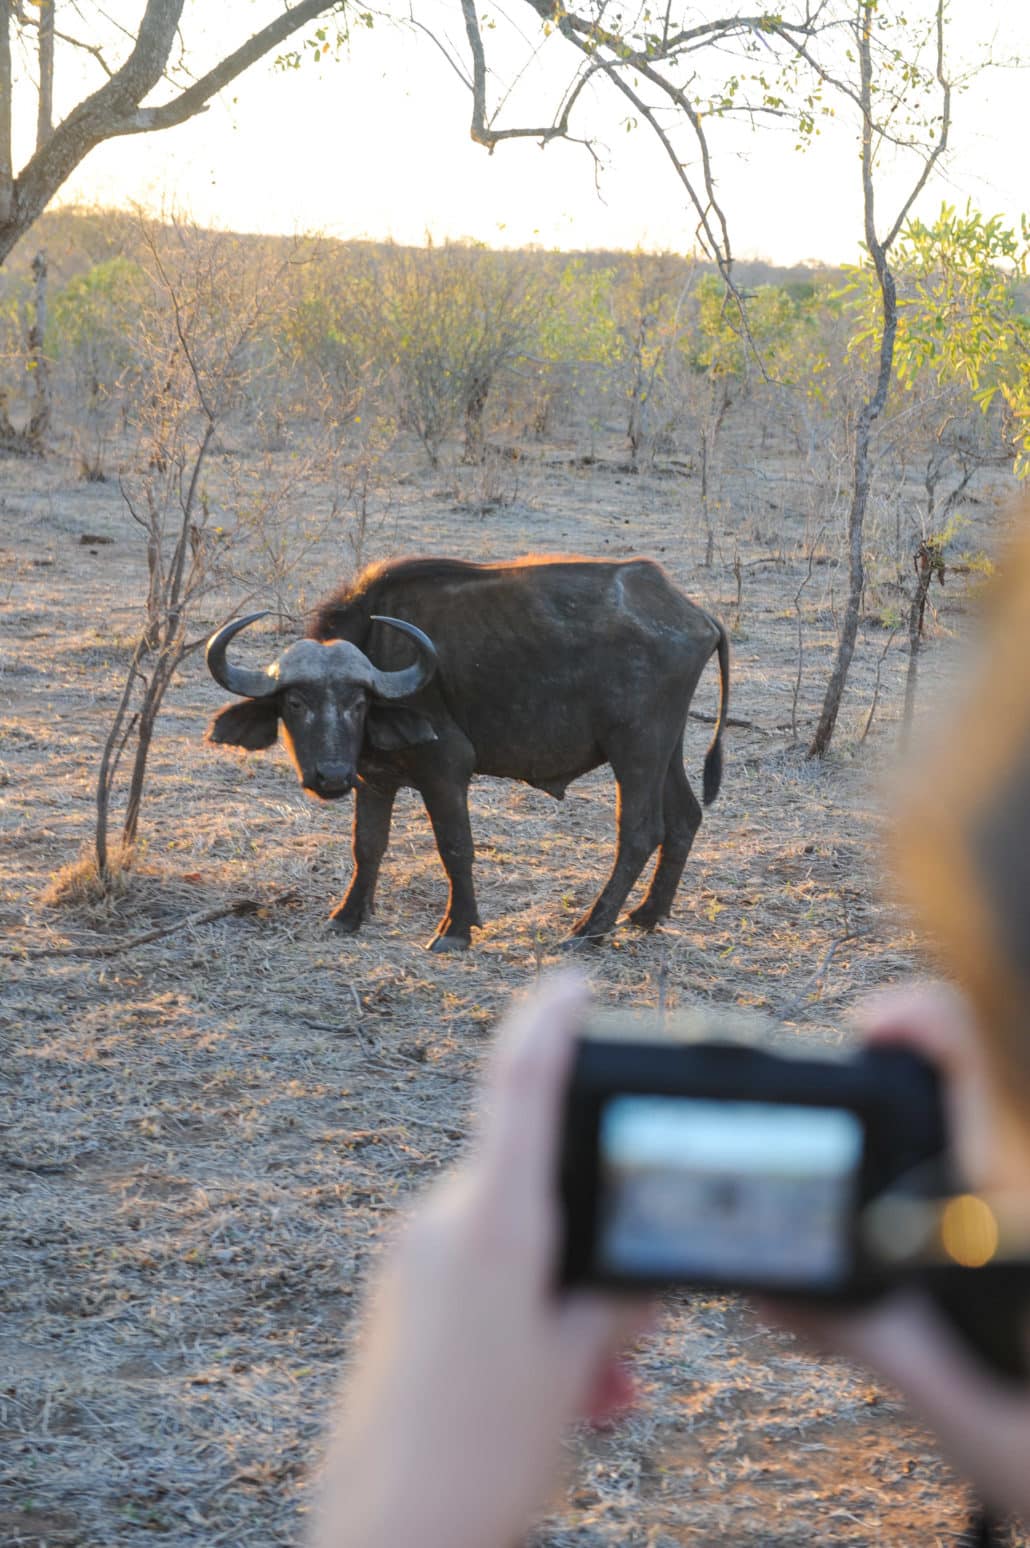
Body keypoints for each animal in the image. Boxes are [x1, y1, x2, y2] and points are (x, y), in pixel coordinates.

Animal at [204, 551, 727, 947]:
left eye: (357, 703)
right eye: (294, 703)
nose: (330, 776)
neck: (383, 647)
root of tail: (695, 615)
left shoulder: (446, 770)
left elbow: (455, 846)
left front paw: (457, 927)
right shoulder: (374, 777)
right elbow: (367, 845)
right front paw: (348, 914)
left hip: (636, 748)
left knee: (639, 831)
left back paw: (591, 927)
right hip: (667, 746)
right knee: (685, 816)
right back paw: (647, 914)